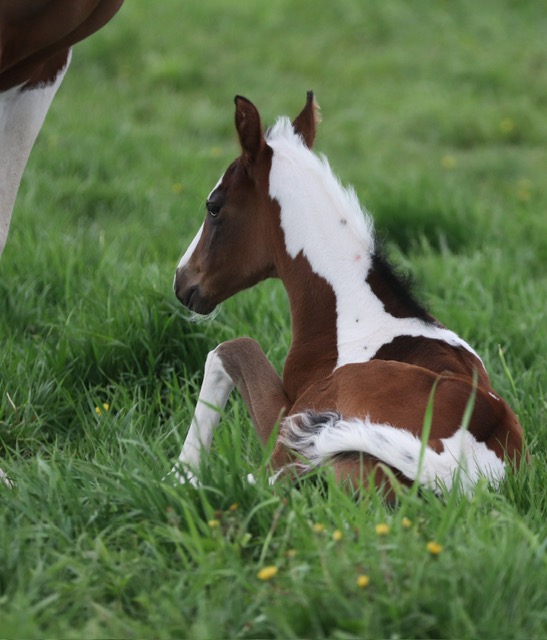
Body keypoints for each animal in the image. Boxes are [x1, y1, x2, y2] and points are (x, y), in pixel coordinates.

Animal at [171, 92, 528, 498]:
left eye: (213, 206)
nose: (181, 282)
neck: (352, 315)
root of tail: (456, 471)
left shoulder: (285, 418)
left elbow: (227, 349)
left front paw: (178, 471)